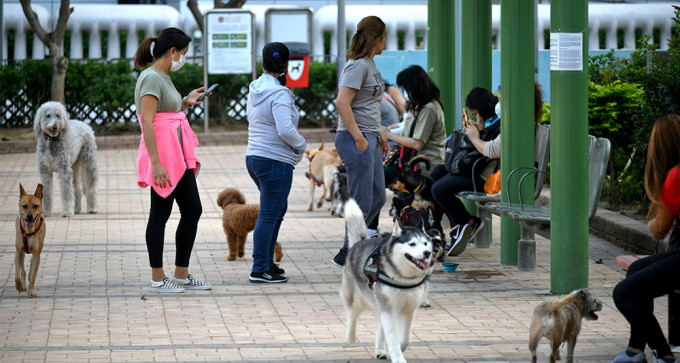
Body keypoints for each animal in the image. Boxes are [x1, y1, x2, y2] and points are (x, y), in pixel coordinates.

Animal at [340, 199, 436, 363]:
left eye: (425, 243)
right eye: (412, 244)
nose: (427, 253)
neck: (404, 279)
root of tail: (359, 243)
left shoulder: (409, 310)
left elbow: (405, 337)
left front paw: (400, 349)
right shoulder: (389, 309)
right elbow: (392, 336)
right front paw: (398, 357)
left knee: (380, 325)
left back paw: (380, 350)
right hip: (357, 299)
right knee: (352, 316)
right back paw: (350, 337)